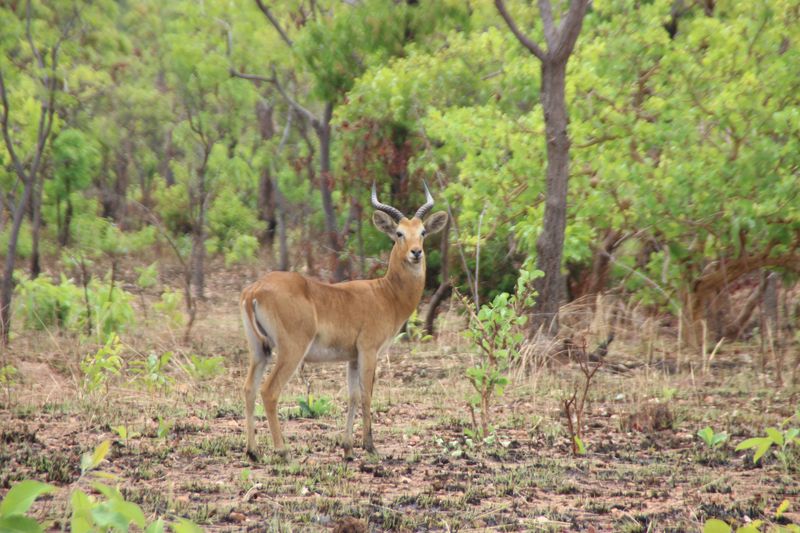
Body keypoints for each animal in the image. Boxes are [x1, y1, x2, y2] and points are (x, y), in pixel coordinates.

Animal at [238, 183, 450, 458]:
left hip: (259, 350)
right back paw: (282, 451)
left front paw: (348, 448)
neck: (385, 294)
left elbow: (352, 396)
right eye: (399, 233)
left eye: (423, 232)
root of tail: (254, 290)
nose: (416, 253)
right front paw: (370, 446)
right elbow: (367, 395)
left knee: (249, 389)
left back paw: (253, 451)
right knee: (269, 391)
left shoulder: (352, 358)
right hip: (291, 350)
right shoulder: (369, 351)